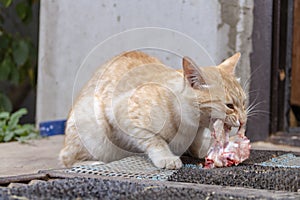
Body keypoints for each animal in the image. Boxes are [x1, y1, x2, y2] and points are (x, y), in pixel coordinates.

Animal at [58, 51, 246, 169]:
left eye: (244, 103)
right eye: (229, 106)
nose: (243, 120)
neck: (192, 125)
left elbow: (195, 145)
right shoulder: (125, 116)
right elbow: (155, 141)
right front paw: (167, 158)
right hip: (94, 128)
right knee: (66, 158)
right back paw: (91, 163)